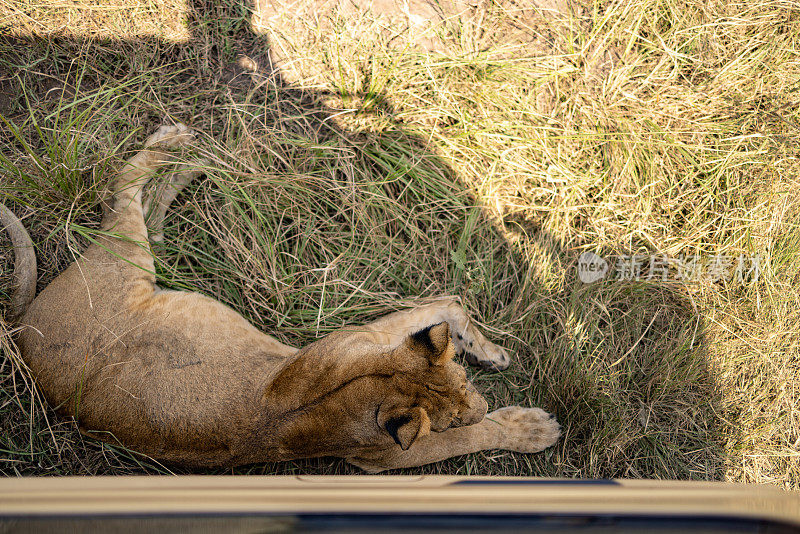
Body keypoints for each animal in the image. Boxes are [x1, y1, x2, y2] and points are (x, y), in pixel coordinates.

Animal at [0, 124, 560, 474]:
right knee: (122, 189)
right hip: (125, 257)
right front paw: (529, 427)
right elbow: (462, 425)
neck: (367, 384)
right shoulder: (379, 454)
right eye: (460, 409)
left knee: (150, 214)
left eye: (466, 381)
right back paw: (172, 143)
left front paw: (489, 352)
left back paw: (186, 170)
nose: (480, 402)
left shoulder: (357, 343)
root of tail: (21, 327)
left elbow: (445, 308)